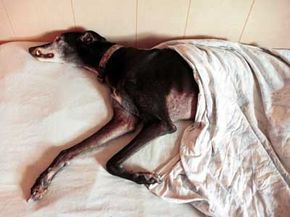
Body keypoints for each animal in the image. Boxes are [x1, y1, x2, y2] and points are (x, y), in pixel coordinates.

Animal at [27, 30, 199, 200]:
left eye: (58, 39)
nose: (30, 49)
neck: (112, 60)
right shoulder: (124, 121)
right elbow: (68, 151)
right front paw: (43, 180)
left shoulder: (161, 123)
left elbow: (111, 163)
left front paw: (142, 177)